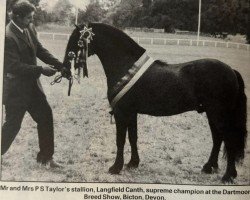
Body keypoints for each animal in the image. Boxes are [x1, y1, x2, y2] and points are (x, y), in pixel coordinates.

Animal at [63, 23, 247, 183]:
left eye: (76, 41)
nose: (65, 69)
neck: (125, 65)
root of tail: (231, 70)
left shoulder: (122, 112)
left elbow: (120, 140)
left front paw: (115, 168)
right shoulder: (132, 113)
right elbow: (133, 137)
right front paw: (133, 163)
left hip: (218, 113)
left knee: (228, 139)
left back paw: (228, 176)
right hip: (212, 113)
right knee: (217, 138)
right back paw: (209, 167)